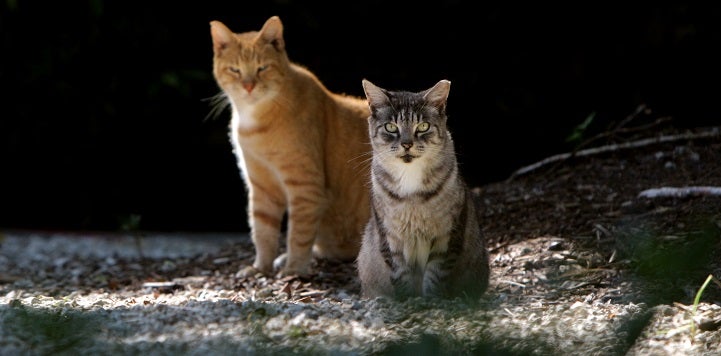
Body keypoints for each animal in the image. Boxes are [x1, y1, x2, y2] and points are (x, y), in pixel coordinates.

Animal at [205, 16, 368, 278]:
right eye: (235, 70)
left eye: (262, 68)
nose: (249, 86)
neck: (254, 121)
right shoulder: (262, 187)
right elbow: (262, 232)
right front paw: (260, 267)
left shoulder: (305, 187)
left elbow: (298, 234)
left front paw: (294, 269)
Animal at [358, 79, 492, 298]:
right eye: (390, 127)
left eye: (423, 126)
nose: (406, 144)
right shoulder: (390, 235)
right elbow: (400, 272)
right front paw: (407, 300)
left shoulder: (447, 234)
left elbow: (436, 273)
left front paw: (431, 299)